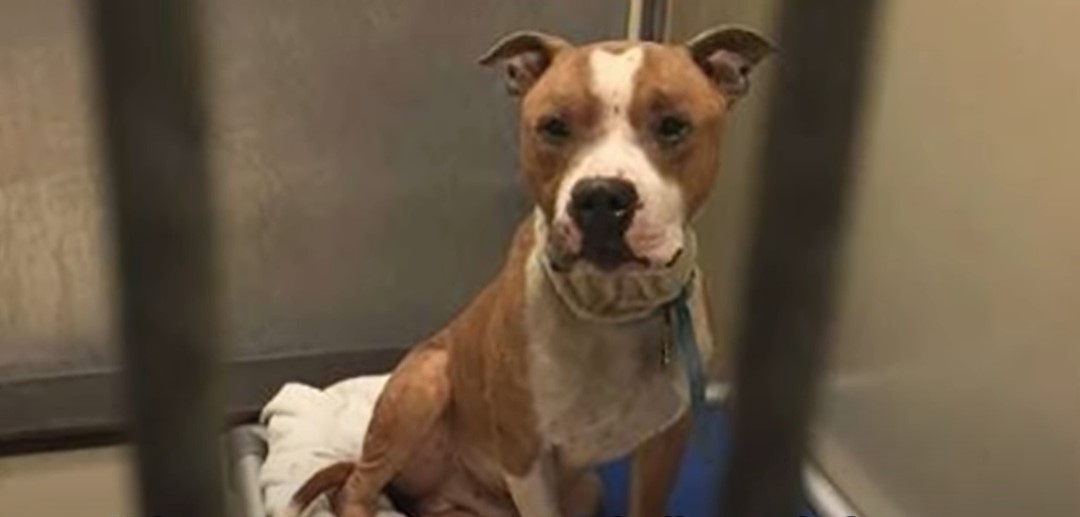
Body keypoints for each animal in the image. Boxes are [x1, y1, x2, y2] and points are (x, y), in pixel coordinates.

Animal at [274, 26, 773, 517]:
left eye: (673, 126)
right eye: (553, 126)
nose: (601, 197)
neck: (612, 307)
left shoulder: (665, 444)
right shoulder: (525, 453)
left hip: (583, 489)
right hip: (423, 383)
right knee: (355, 487)